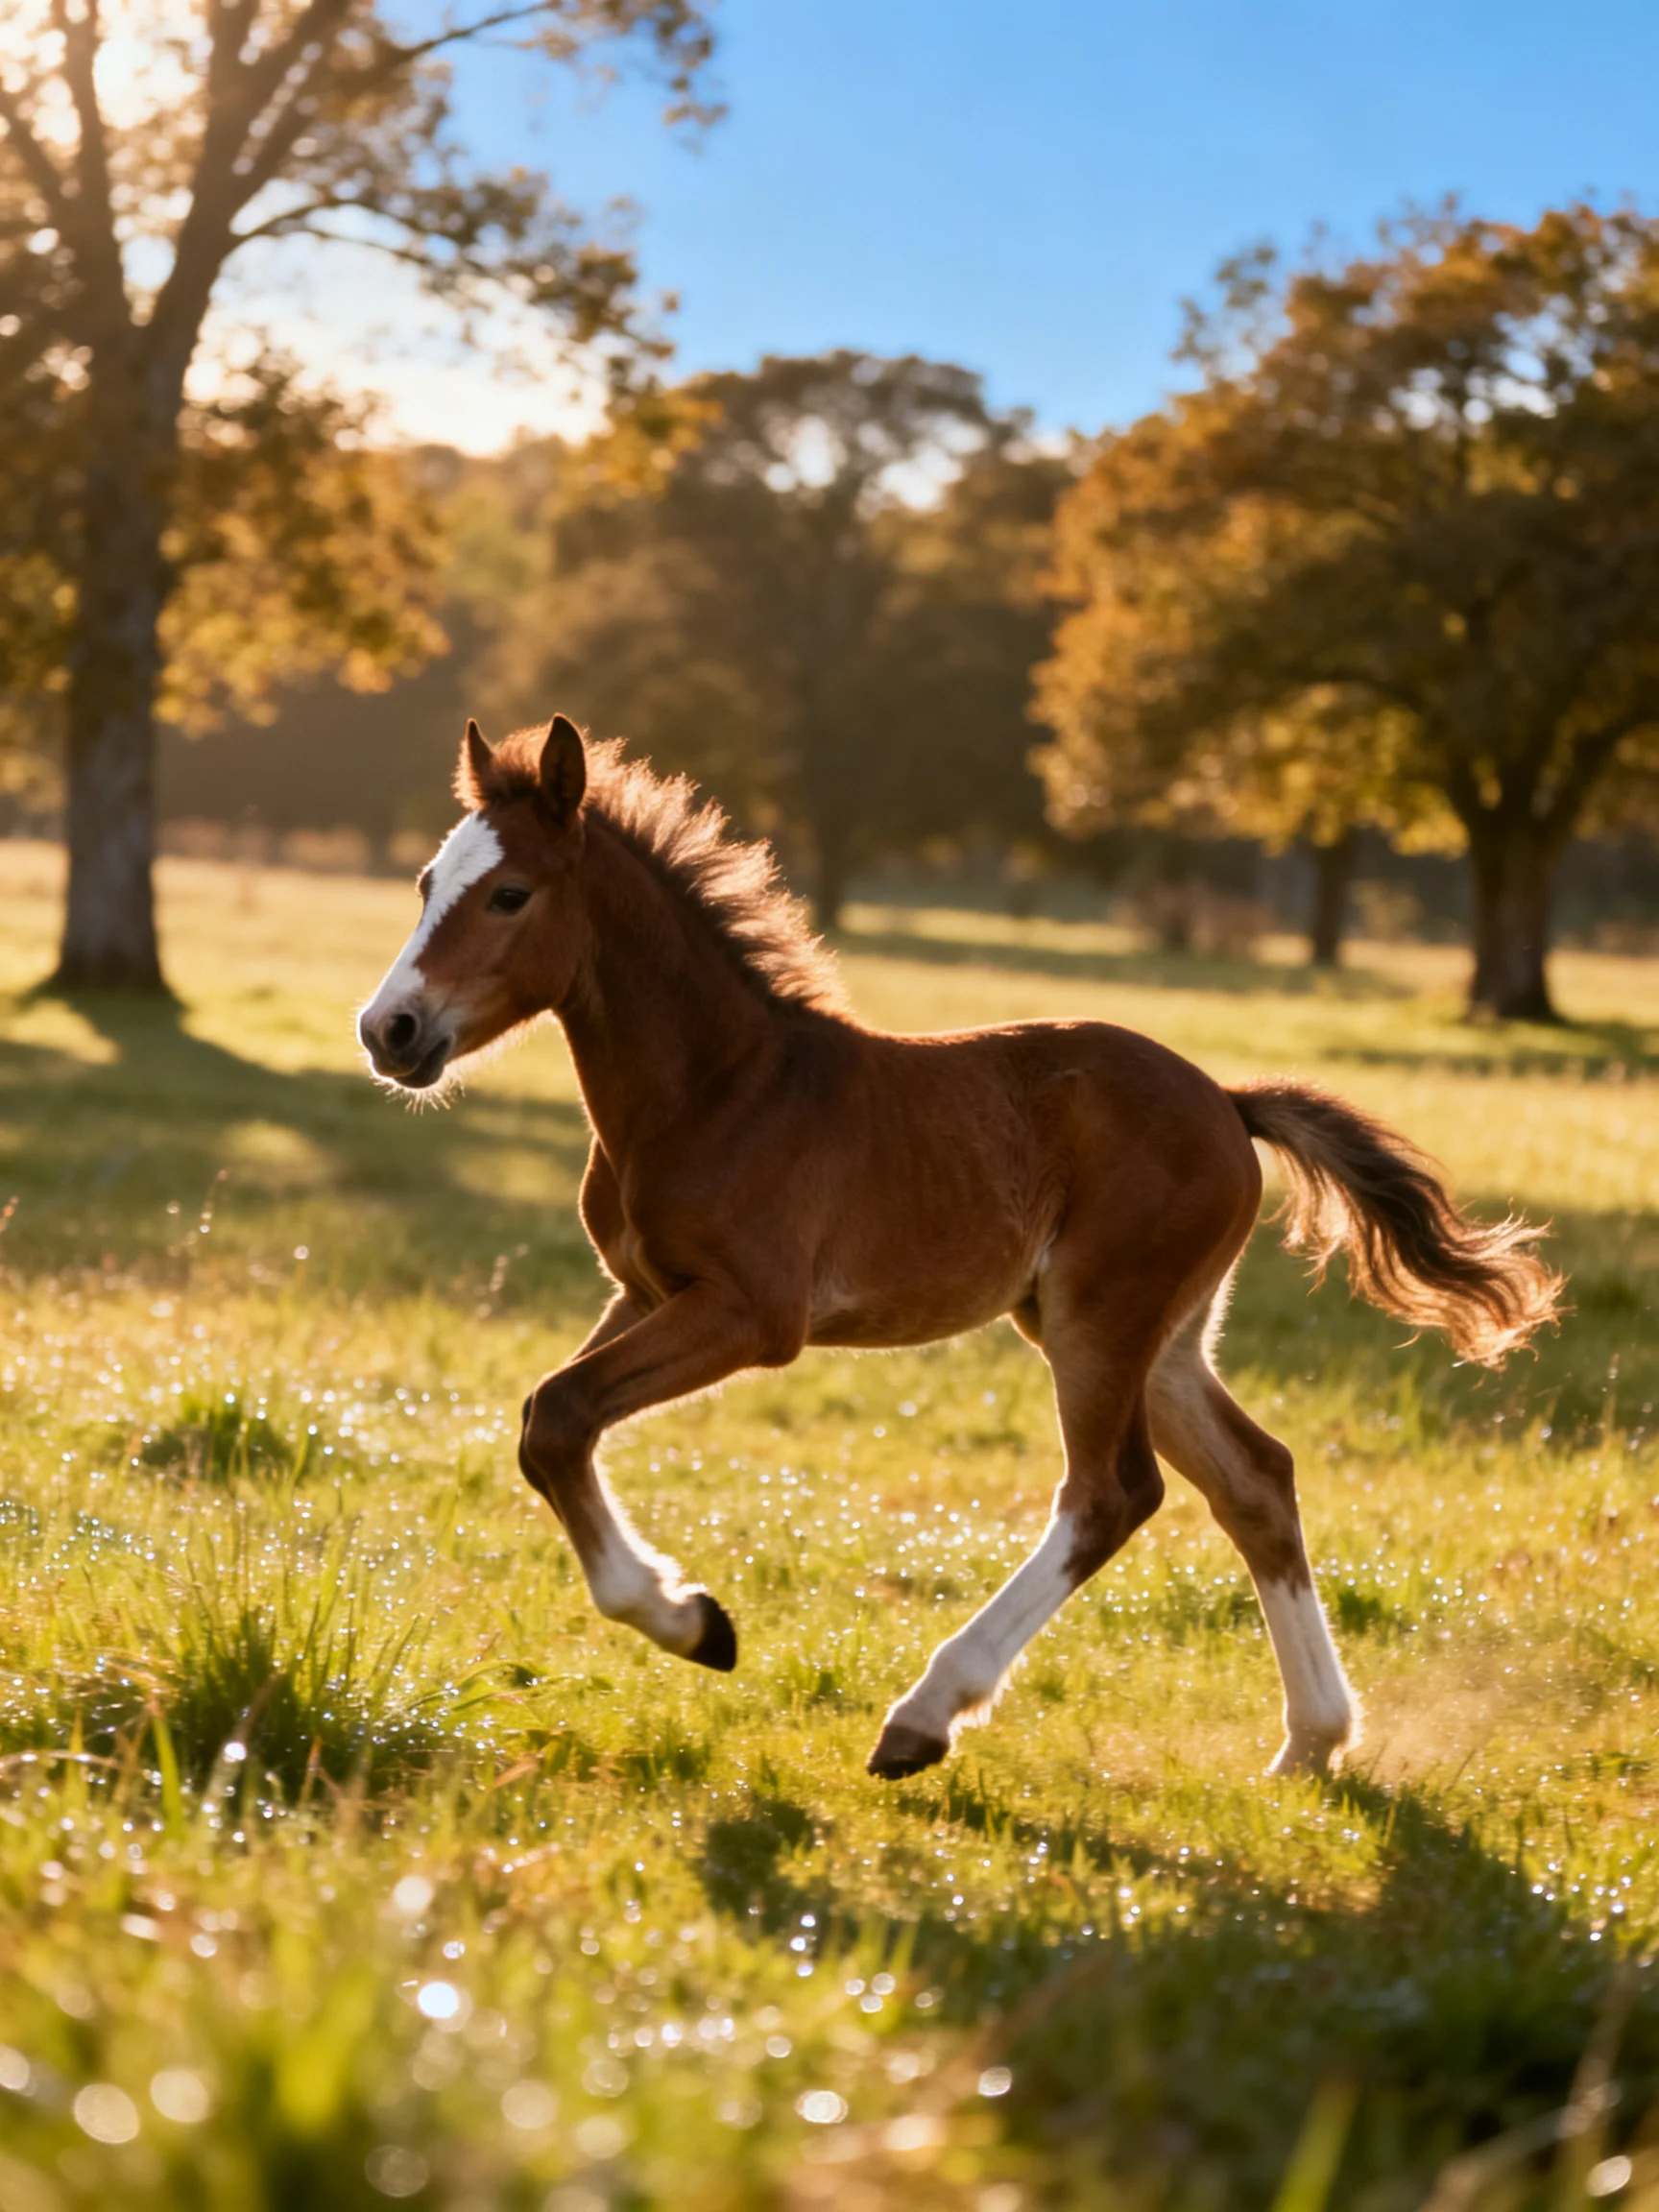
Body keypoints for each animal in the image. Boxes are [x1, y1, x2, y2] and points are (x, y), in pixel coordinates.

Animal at [358, 715, 1560, 1780]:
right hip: (1155, 1337)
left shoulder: (752, 1313)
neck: (716, 1088)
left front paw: (692, 1624)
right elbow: (546, 1422)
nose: (390, 1030)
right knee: (1256, 1480)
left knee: (1111, 1495)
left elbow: (560, 1414)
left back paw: (925, 1716)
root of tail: (1227, 1101)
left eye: (510, 894)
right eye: (426, 882)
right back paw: (1312, 1741)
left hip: (1099, 1319)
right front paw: (693, 1616)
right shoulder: (645, 1292)